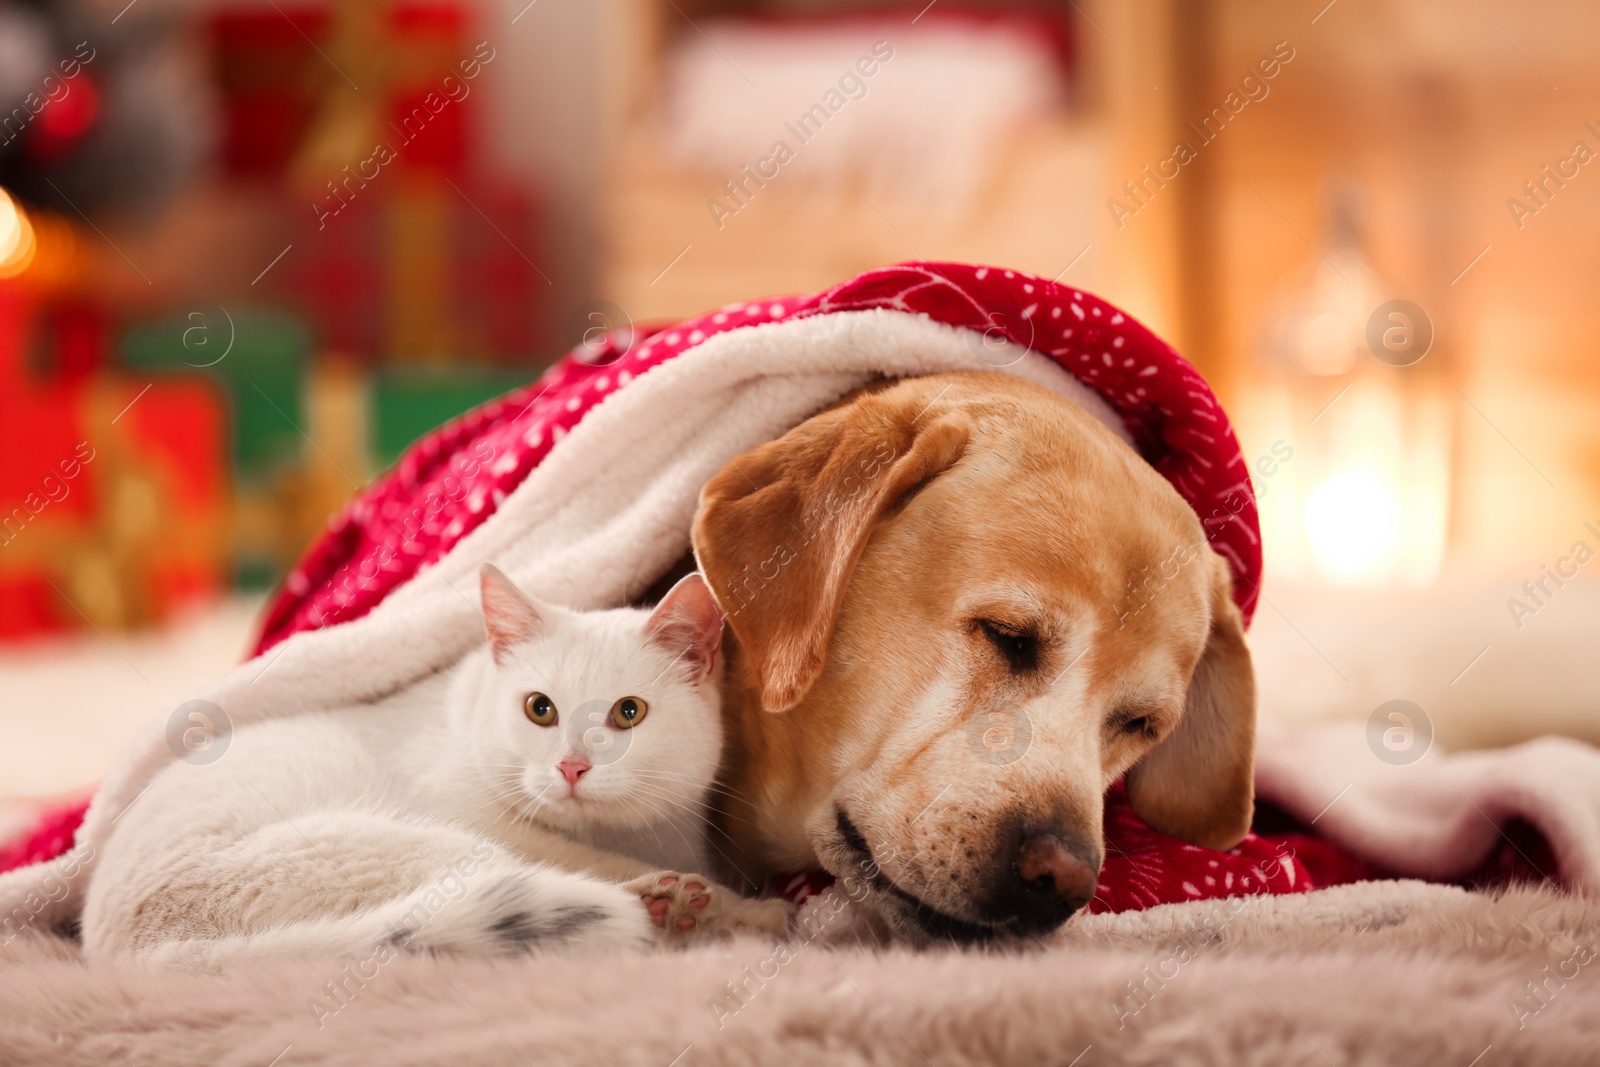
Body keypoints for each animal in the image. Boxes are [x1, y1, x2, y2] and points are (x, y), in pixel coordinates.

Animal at [81, 563, 793, 972]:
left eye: (628, 713)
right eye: (539, 709)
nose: (571, 767)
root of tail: (143, 957)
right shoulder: (493, 822)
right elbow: (596, 861)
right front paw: (745, 908)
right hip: (411, 850)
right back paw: (675, 910)